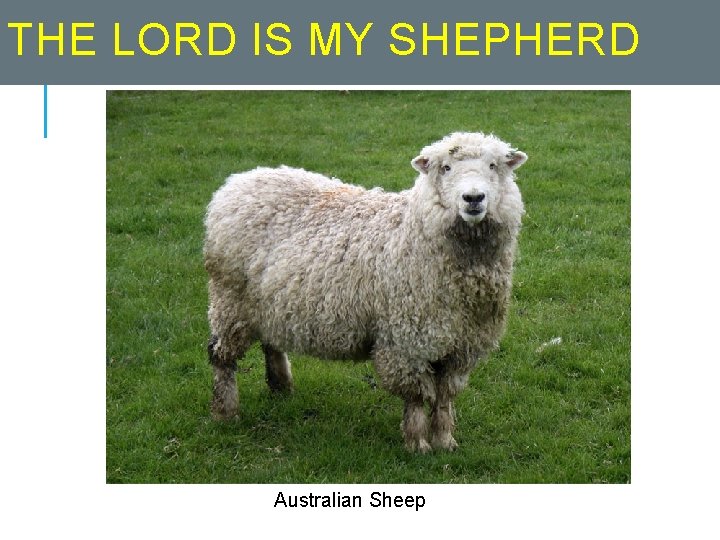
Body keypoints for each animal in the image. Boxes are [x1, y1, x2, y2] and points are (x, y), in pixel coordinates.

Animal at [204, 132, 528, 452]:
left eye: (493, 166)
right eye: (445, 168)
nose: (473, 198)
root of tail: (239, 181)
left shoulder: (462, 344)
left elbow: (445, 396)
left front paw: (445, 440)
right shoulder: (406, 340)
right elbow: (417, 396)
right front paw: (418, 443)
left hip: (270, 302)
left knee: (271, 342)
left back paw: (281, 387)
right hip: (229, 299)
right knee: (220, 357)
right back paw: (225, 412)